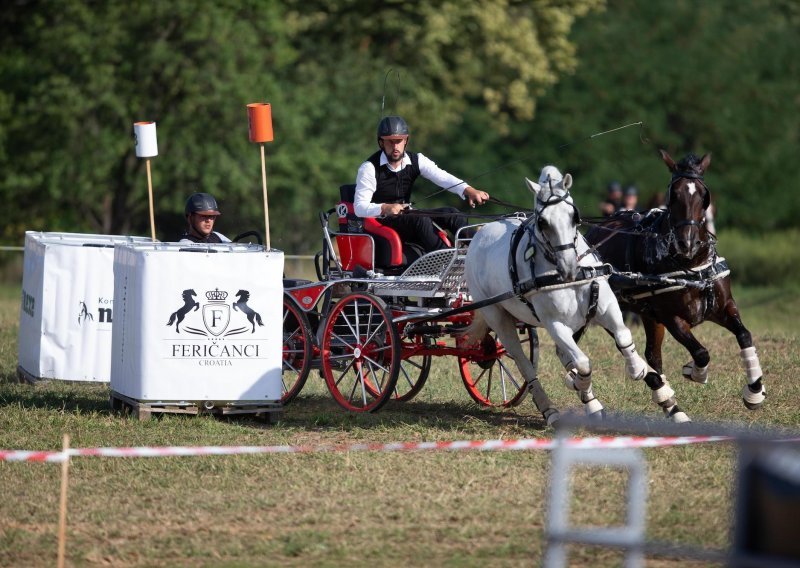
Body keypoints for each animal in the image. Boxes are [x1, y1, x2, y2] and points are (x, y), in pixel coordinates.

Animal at [462, 166, 688, 424]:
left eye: (574, 216)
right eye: (542, 221)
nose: (569, 266)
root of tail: (480, 233)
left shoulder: (607, 306)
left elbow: (623, 337)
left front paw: (638, 369)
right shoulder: (555, 324)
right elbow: (582, 363)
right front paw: (578, 383)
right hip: (497, 317)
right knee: (523, 363)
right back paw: (551, 409)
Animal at [584, 149, 764, 410]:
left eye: (703, 195)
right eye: (674, 195)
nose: (687, 243)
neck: (692, 266)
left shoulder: (723, 307)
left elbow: (744, 335)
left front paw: (755, 390)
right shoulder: (672, 318)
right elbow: (701, 353)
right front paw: (695, 372)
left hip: (649, 315)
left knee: (652, 355)